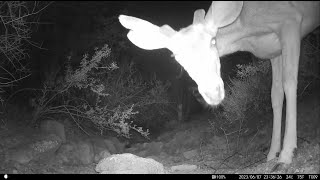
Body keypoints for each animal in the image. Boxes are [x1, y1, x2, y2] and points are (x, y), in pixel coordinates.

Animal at [119, 1, 320, 170]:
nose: (212, 92)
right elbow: (275, 96)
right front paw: (272, 154)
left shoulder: (291, 21)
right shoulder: (273, 51)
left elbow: (290, 83)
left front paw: (287, 154)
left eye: (213, 41)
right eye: (176, 56)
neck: (249, 30)